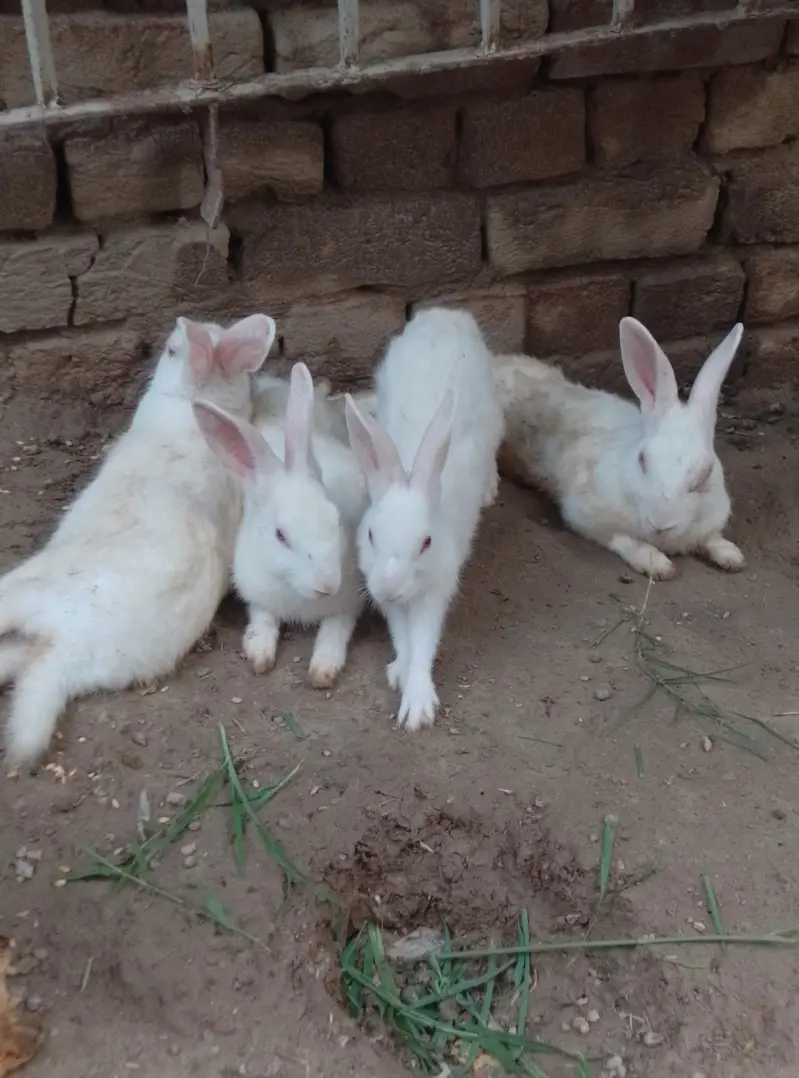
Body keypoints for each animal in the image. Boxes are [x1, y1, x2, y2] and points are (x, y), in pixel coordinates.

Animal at [193, 362, 368, 689]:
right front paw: (259, 654)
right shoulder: (256, 593)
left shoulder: (348, 604)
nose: (328, 584)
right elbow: (263, 619)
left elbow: (334, 631)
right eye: (280, 536)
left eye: (335, 518)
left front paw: (322, 671)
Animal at [344, 307, 505, 731]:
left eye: (426, 542)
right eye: (371, 534)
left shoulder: (437, 587)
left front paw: (417, 706)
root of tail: (446, 313)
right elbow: (403, 636)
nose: (387, 588)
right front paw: (399, 671)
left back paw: (490, 489)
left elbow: (425, 637)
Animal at [493, 316, 746, 581]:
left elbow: (711, 538)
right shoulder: (586, 516)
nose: (660, 523)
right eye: (642, 460)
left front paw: (732, 556)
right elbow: (624, 540)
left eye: (706, 473)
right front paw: (657, 564)